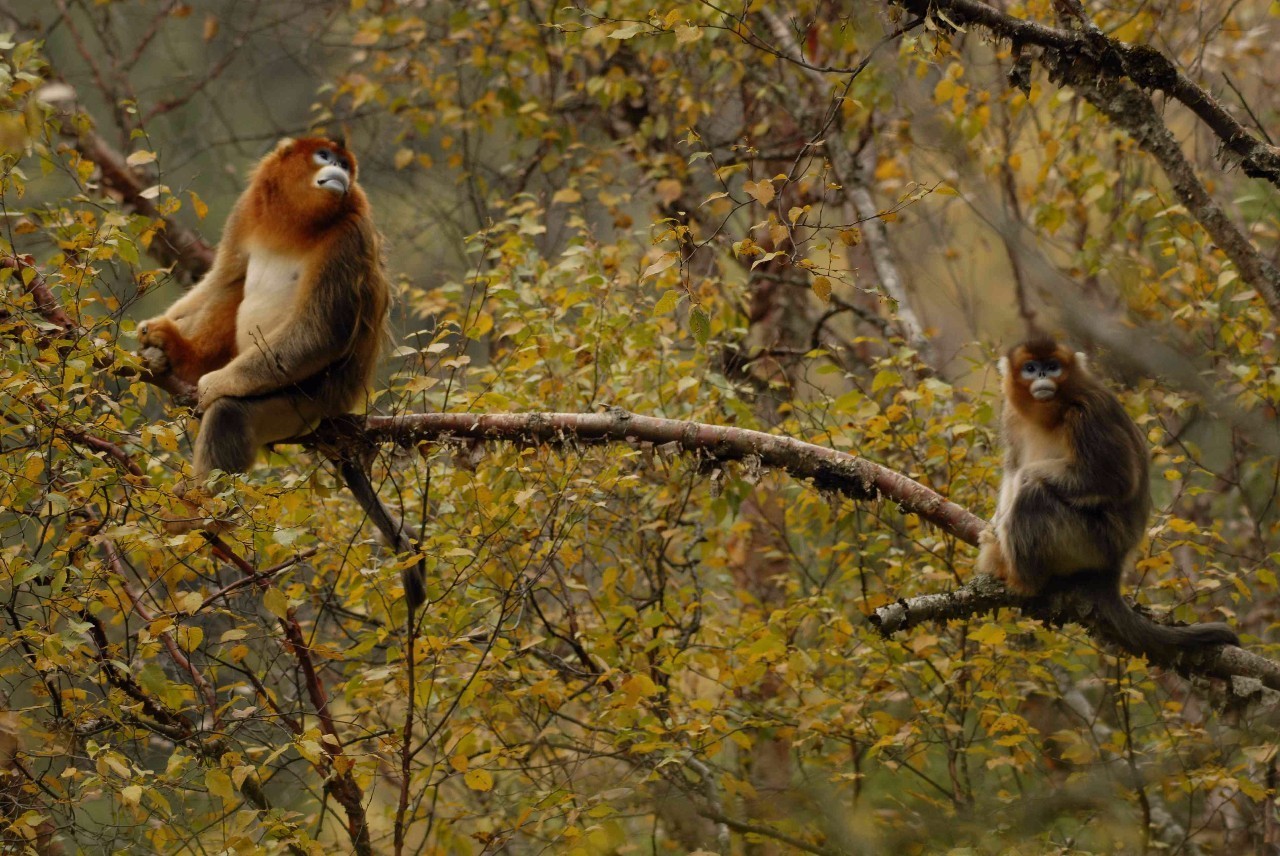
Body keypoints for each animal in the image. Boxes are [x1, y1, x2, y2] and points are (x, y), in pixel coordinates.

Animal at [138, 138, 424, 606]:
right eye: (326, 158)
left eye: (345, 165)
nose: (340, 171)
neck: (297, 225)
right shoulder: (246, 212)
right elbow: (224, 278)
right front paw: (157, 337)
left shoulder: (349, 235)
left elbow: (318, 332)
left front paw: (214, 383)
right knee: (231, 290)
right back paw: (175, 352)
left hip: (305, 404)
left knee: (232, 412)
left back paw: (204, 514)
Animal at [977, 337, 1239, 660]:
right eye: (1030, 367)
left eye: (1052, 366)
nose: (1042, 375)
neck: (1051, 412)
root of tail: (1116, 564)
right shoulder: (1012, 418)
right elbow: (1012, 470)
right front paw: (994, 524)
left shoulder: (1087, 413)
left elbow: (1114, 479)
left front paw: (1026, 480)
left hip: (1092, 542)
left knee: (1034, 497)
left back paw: (1024, 580)